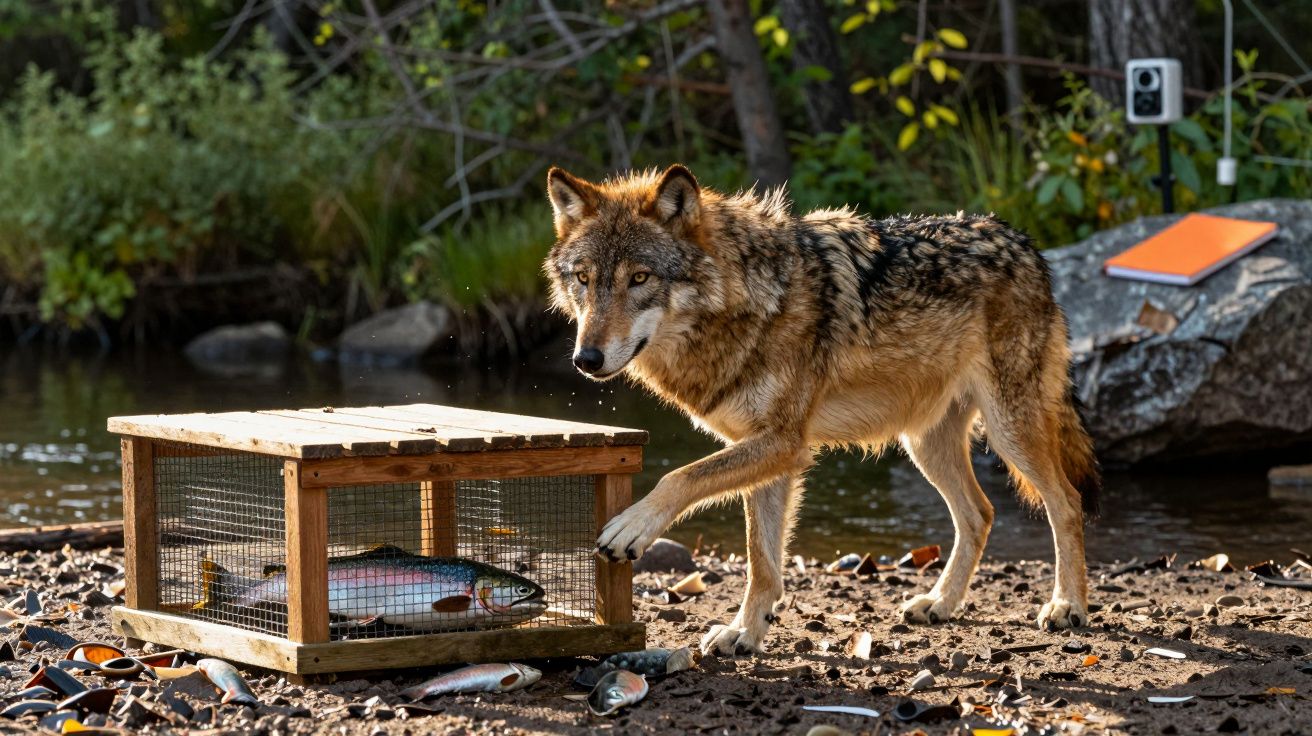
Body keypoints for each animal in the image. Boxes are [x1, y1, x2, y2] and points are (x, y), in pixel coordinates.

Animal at [543, 164, 1100, 655]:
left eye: (639, 277)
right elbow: (762, 562)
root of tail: (1023, 241)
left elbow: (679, 476)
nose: (585, 358)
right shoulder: (761, 449)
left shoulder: (784, 444)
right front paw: (745, 633)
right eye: (584, 279)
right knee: (979, 514)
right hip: (924, 444)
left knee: (1066, 502)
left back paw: (1067, 606)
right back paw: (940, 602)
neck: (748, 303)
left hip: (1008, 431)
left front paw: (632, 526)